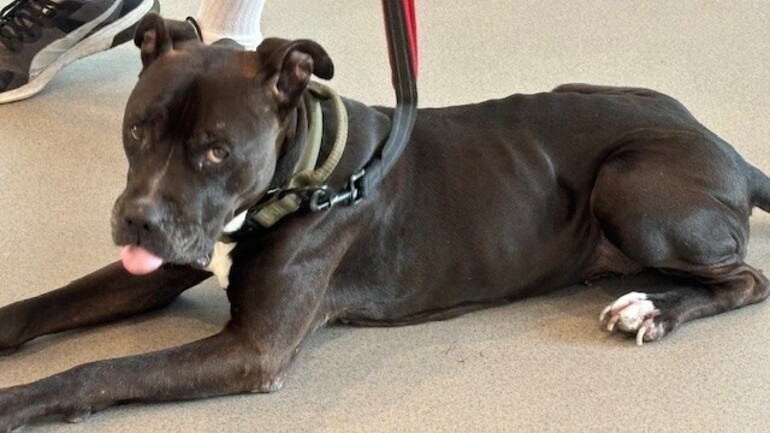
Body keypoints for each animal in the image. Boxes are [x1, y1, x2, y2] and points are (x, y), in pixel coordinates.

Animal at [0, 13, 768, 429]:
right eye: (137, 129)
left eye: (217, 149)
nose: (138, 220)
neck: (305, 173)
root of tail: (725, 146)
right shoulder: (168, 262)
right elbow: (44, 305)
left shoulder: (253, 349)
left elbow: (99, 370)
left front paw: (18, 400)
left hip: (628, 186)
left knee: (746, 280)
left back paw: (652, 308)